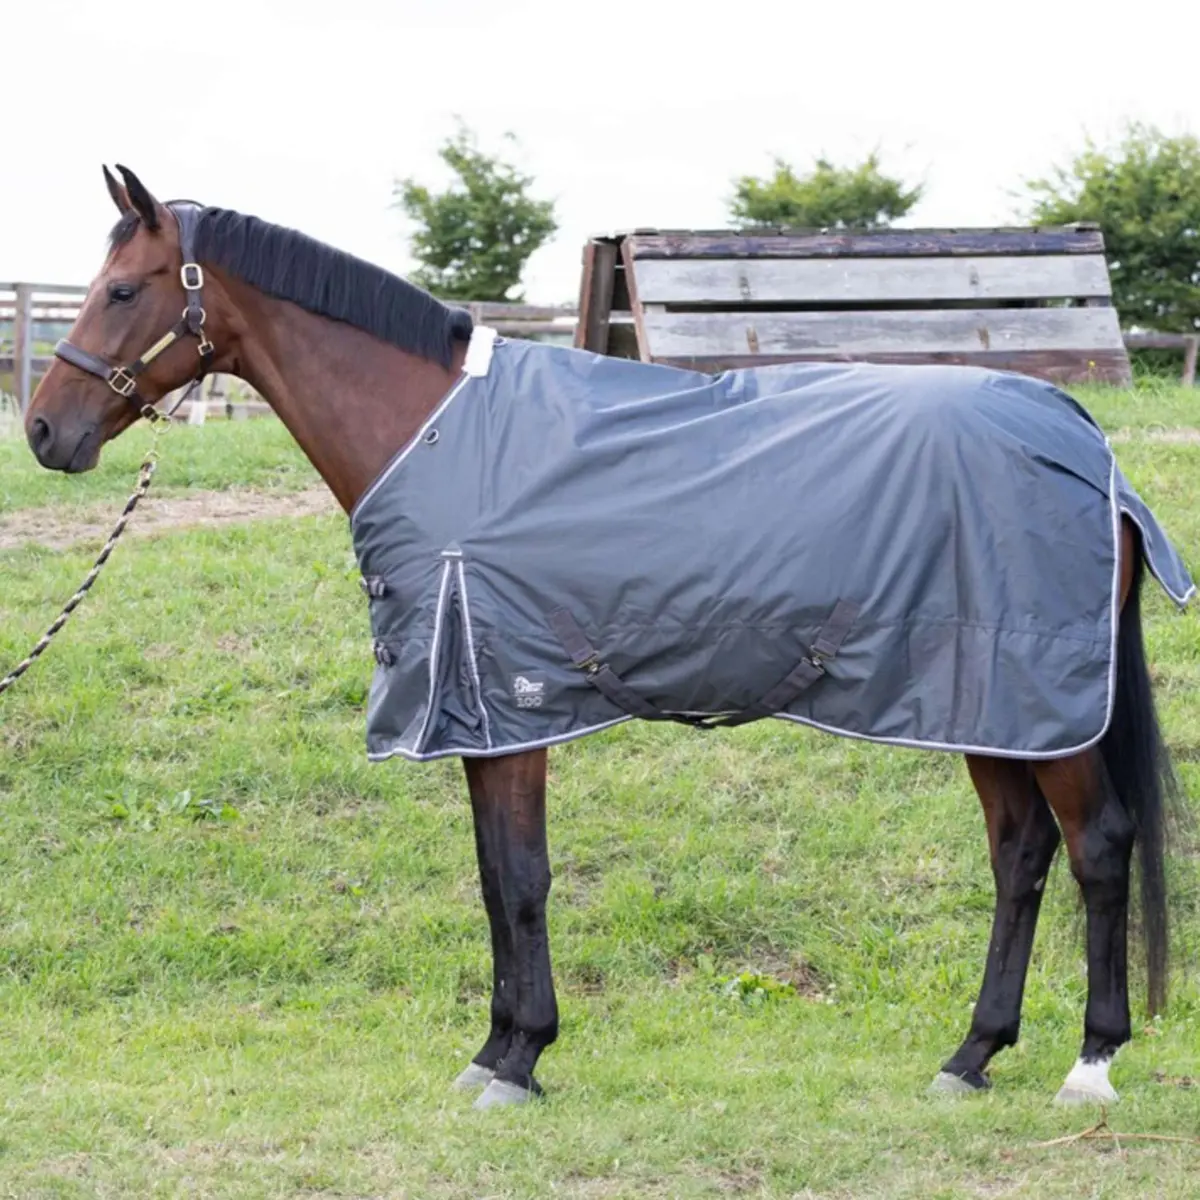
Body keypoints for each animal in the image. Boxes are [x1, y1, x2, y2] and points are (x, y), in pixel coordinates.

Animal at [23, 164, 1191, 1111]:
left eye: (123, 289)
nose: (43, 430)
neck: (439, 433)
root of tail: (1082, 438)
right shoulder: (484, 712)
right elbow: (494, 876)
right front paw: (495, 1053)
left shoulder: (508, 701)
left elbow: (522, 879)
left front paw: (520, 1059)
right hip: (985, 702)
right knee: (1019, 851)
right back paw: (971, 1055)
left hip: (1038, 702)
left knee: (1096, 846)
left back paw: (1090, 1064)